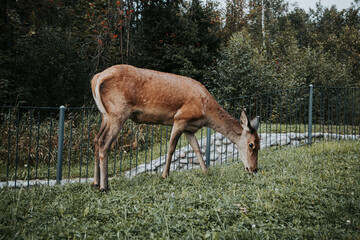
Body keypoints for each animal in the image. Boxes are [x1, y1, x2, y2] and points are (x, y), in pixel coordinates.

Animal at [90, 63, 258, 191]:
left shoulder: (189, 128)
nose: (254, 169)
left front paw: (206, 172)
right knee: (104, 142)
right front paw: (165, 175)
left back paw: (95, 183)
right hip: (118, 111)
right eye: (252, 144)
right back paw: (105, 186)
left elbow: (197, 149)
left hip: (105, 114)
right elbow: (171, 147)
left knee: (96, 139)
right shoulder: (180, 118)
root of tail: (96, 78)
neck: (206, 111)